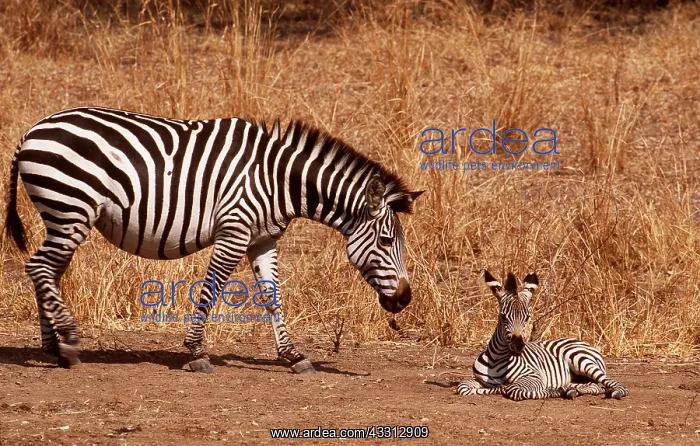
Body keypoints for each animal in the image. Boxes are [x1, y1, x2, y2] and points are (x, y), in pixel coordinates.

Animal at [4, 106, 424, 373]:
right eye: (386, 241)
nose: (405, 299)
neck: (278, 180)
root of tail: (31, 131)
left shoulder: (263, 240)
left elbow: (272, 297)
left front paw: (293, 356)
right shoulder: (234, 231)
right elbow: (210, 290)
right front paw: (195, 352)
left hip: (63, 215)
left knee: (47, 271)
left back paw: (54, 347)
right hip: (70, 209)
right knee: (39, 267)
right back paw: (69, 341)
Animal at [456, 270, 629, 401]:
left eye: (527, 317)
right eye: (503, 317)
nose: (518, 346)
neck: (496, 359)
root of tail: (581, 341)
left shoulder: (534, 376)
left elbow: (515, 390)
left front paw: (554, 391)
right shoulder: (478, 381)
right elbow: (463, 387)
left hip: (582, 361)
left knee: (612, 383)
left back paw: (615, 392)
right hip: (577, 377)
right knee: (594, 386)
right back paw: (572, 390)